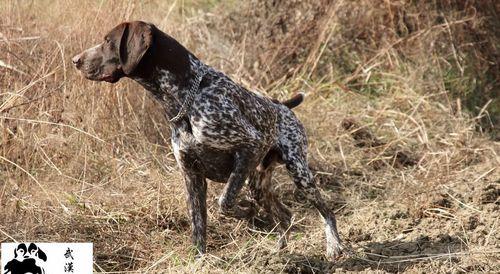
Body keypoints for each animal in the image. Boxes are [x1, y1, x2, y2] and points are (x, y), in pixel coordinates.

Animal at [71, 21, 344, 260]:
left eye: (108, 41)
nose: (75, 60)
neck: (184, 99)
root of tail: (281, 105)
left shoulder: (250, 145)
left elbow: (224, 202)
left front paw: (243, 212)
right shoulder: (192, 176)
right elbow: (198, 226)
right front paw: (199, 260)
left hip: (299, 173)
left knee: (326, 211)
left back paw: (334, 246)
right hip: (257, 183)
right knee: (284, 216)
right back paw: (278, 251)